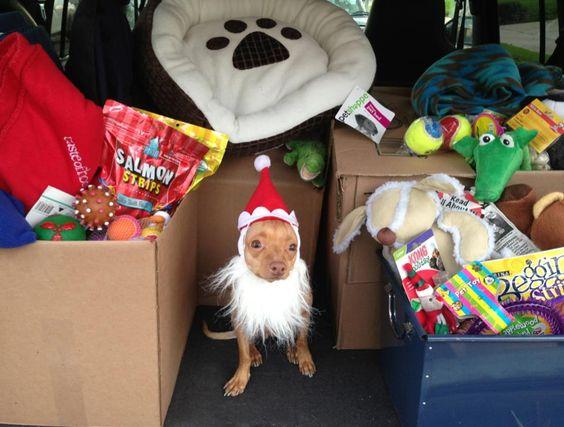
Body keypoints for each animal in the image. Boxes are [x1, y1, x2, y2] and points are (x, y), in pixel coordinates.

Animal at [205, 155, 316, 398]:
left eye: (292, 247)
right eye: (256, 244)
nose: (279, 267)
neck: (269, 288)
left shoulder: (303, 313)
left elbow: (302, 339)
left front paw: (303, 357)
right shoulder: (240, 318)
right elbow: (243, 354)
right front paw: (241, 377)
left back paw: (291, 350)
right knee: (252, 340)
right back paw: (256, 352)